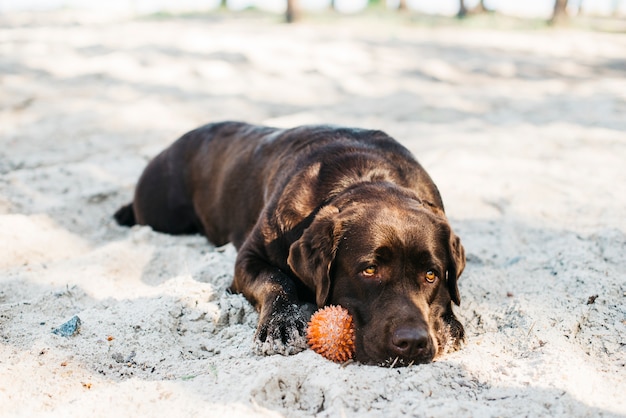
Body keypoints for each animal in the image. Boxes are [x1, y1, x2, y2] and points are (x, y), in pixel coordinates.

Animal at [114, 121, 464, 366]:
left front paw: (448, 324)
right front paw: (281, 324)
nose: (414, 342)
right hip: (159, 211)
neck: (364, 177)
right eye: (369, 270)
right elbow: (277, 280)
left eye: (431, 275)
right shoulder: (248, 259)